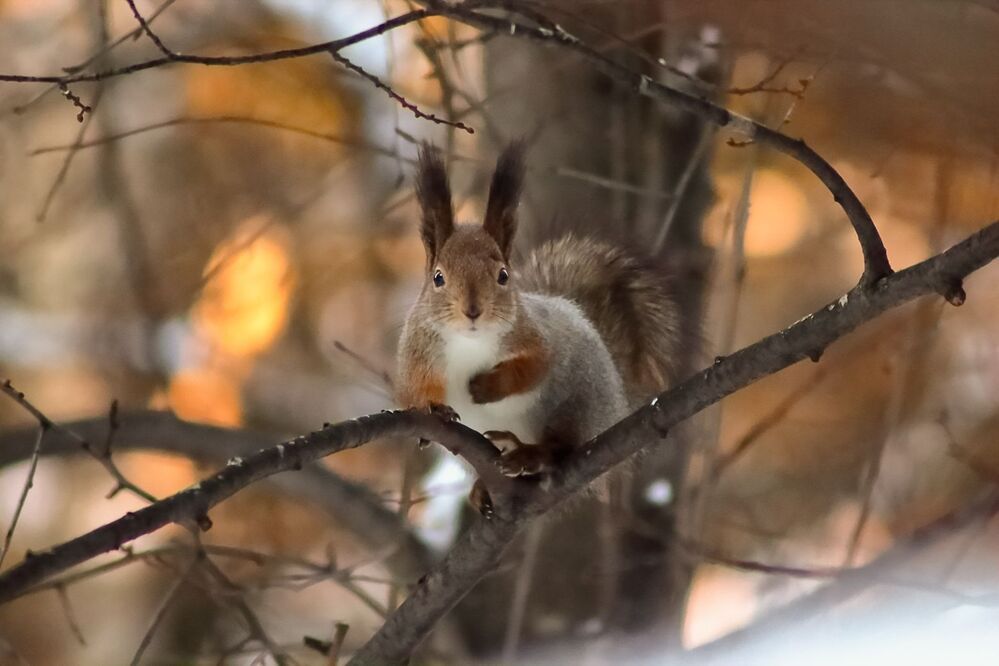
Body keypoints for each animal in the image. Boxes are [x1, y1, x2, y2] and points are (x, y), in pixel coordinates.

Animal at [396, 142, 680, 512]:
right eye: (438, 278)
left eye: (503, 276)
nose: (473, 311)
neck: (469, 341)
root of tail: (617, 402)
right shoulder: (416, 351)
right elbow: (412, 391)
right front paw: (433, 407)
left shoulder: (536, 336)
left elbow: (535, 368)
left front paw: (486, 387)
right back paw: (489, 477)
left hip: (574, 404)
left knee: (560, 447)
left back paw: (529, 454)